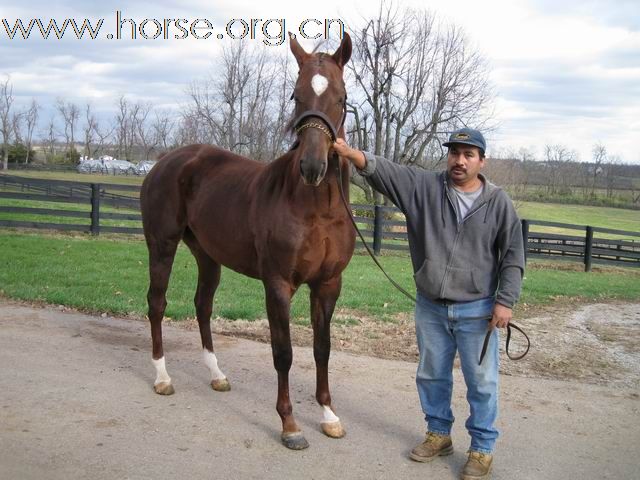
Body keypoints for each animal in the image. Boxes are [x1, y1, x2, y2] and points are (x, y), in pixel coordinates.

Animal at [139, 33, 356, 450]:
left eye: (341, 97)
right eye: (296, 95)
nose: (312, 167)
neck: (315, 207)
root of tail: (166, 161)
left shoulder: (328, 284)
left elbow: (322, 349)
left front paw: (330, 416)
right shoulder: (278, 284)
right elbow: (283, 353)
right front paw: (290, 425)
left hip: (207, 255)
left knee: (202, 305)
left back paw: (216, 375)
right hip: (162, 245)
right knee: (157, 304)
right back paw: (162, 378)